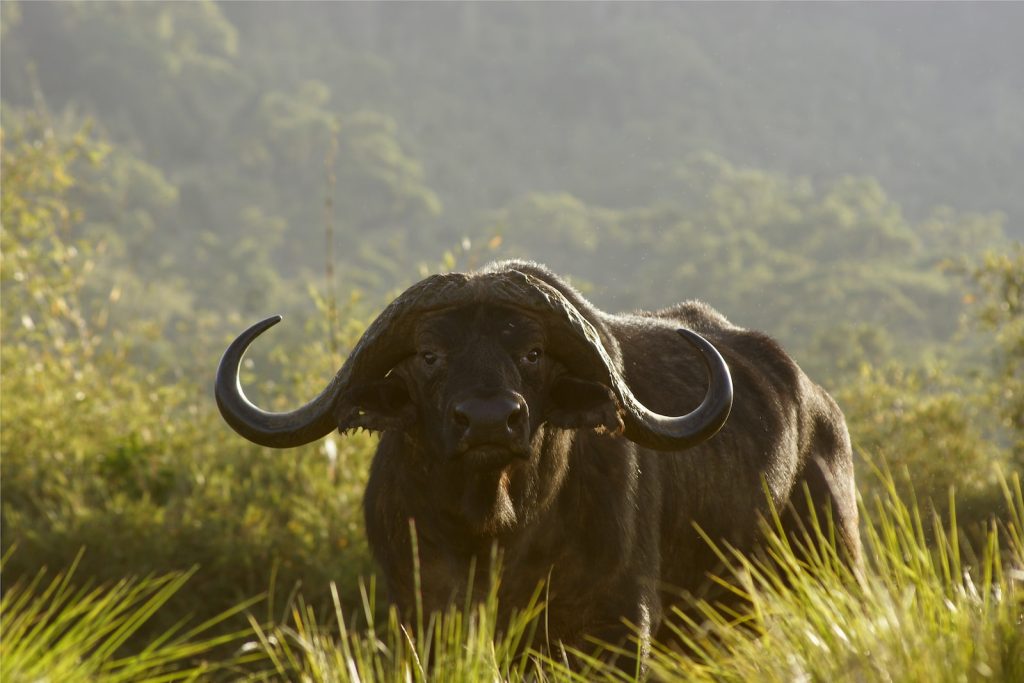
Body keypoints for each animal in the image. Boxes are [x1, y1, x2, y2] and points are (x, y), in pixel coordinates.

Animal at [218, 260, 864, 663]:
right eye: (429, 354)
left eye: (532, 352)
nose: (488, 420)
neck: (495, 533)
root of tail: (820, 410)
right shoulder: (422, 614)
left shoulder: (618, 628)